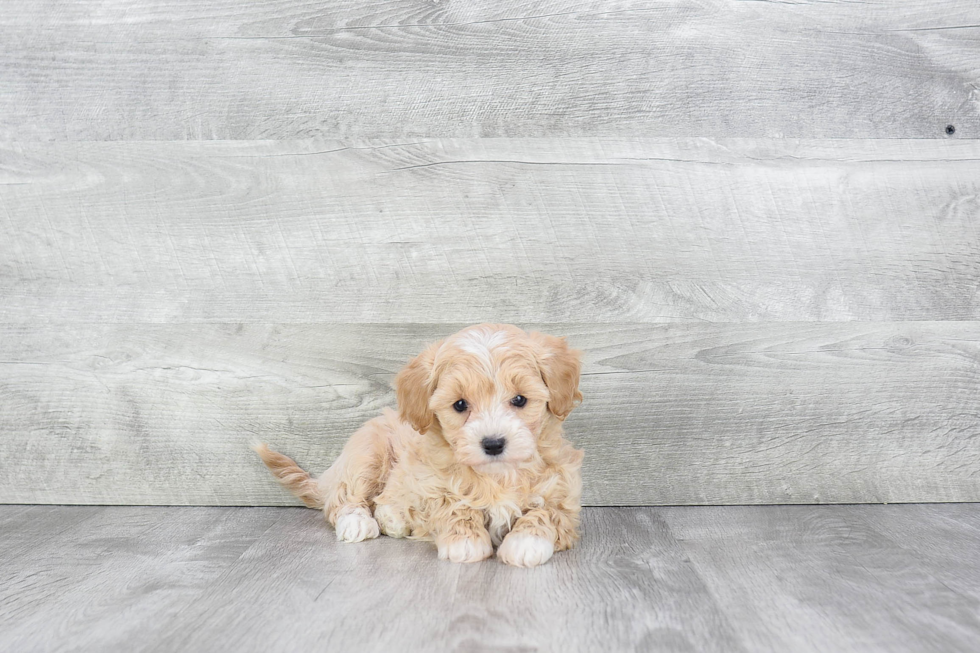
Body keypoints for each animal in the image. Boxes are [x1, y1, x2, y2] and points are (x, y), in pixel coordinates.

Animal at [256, 324, 584, 568]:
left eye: (519, 400)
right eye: (460, 404)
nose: (493, 444)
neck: (497, 475)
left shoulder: (562, 490)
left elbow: (546, 512)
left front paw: (526, 543)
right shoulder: (433, 482)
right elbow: (454, 506)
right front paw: (464, 542)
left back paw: (393, 518)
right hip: (367, 452)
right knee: (345, 498)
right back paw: (360, 522)